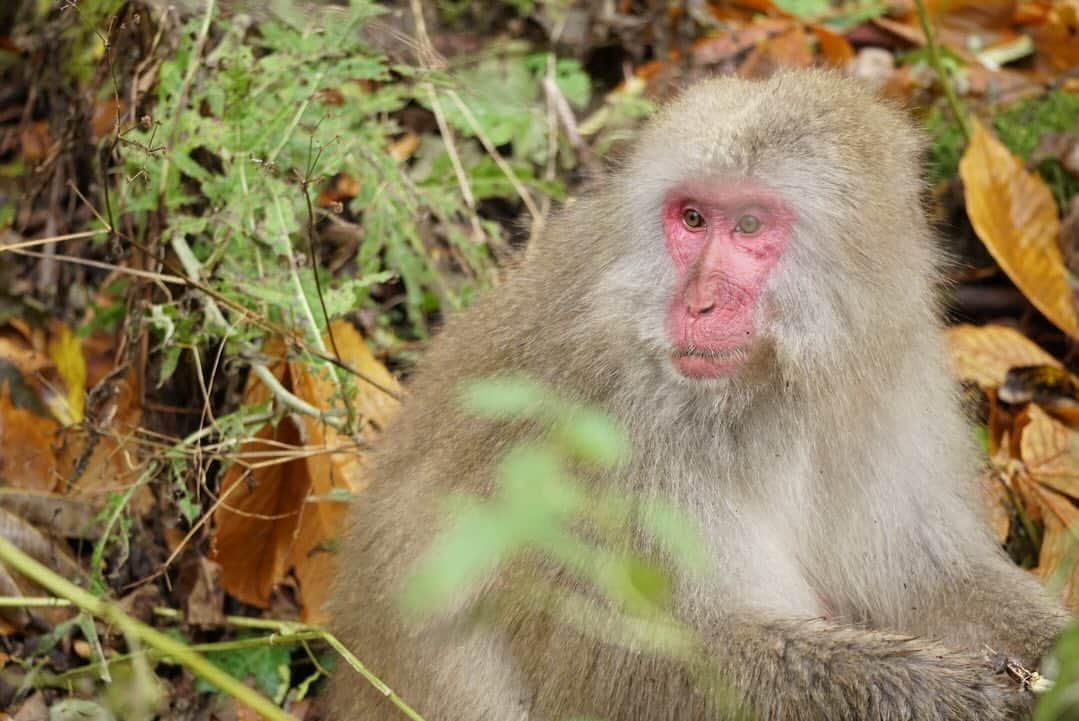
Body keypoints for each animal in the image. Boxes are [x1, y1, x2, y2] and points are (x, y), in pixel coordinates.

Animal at [324, 69, 1071, 721]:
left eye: (748, 226)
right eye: (690, 219)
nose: (699, 301)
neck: (773, 388)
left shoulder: (890, 379)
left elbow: (928, 580)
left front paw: (1056, 661)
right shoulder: (604, 427)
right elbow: (621, 669)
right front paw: (961, 696)